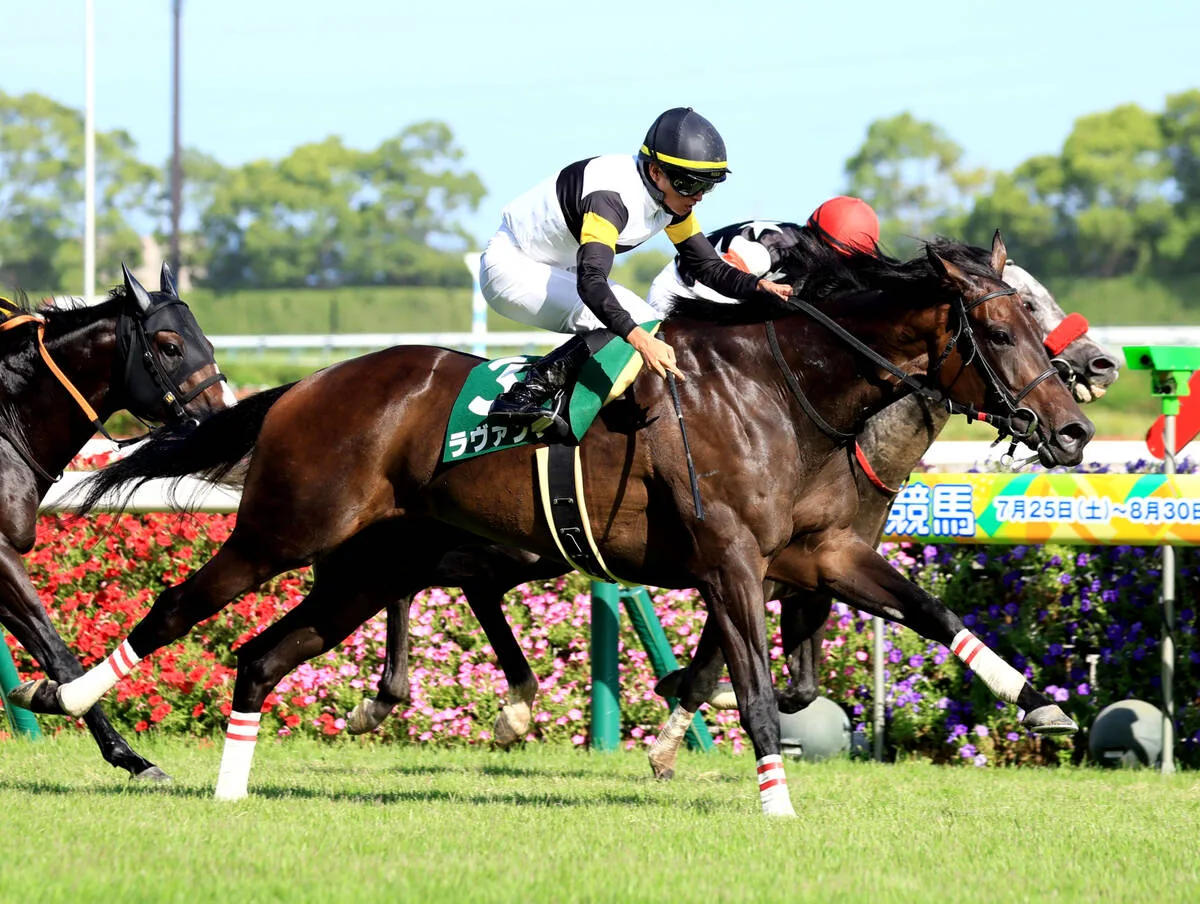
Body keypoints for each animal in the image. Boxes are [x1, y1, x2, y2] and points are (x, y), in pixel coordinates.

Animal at [0, 264, 232, 781]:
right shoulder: (0, 554)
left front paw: (129, 756)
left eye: (206, 341)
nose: (225, 419)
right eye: (170, 345)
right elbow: (60, 653)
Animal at [32, 231, 1094, 815]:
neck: (781, 388)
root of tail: (305, 386)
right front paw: (774, 802)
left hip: (366, 566)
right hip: (287, 529)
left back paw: (233, 785)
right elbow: (753, 688)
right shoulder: (732, 559)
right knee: (181, 608)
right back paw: (74, 697)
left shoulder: (818, 552)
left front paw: (1039, 700)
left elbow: (928, 612)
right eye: (1000, 328)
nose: (1077, 427)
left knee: (260, 655)